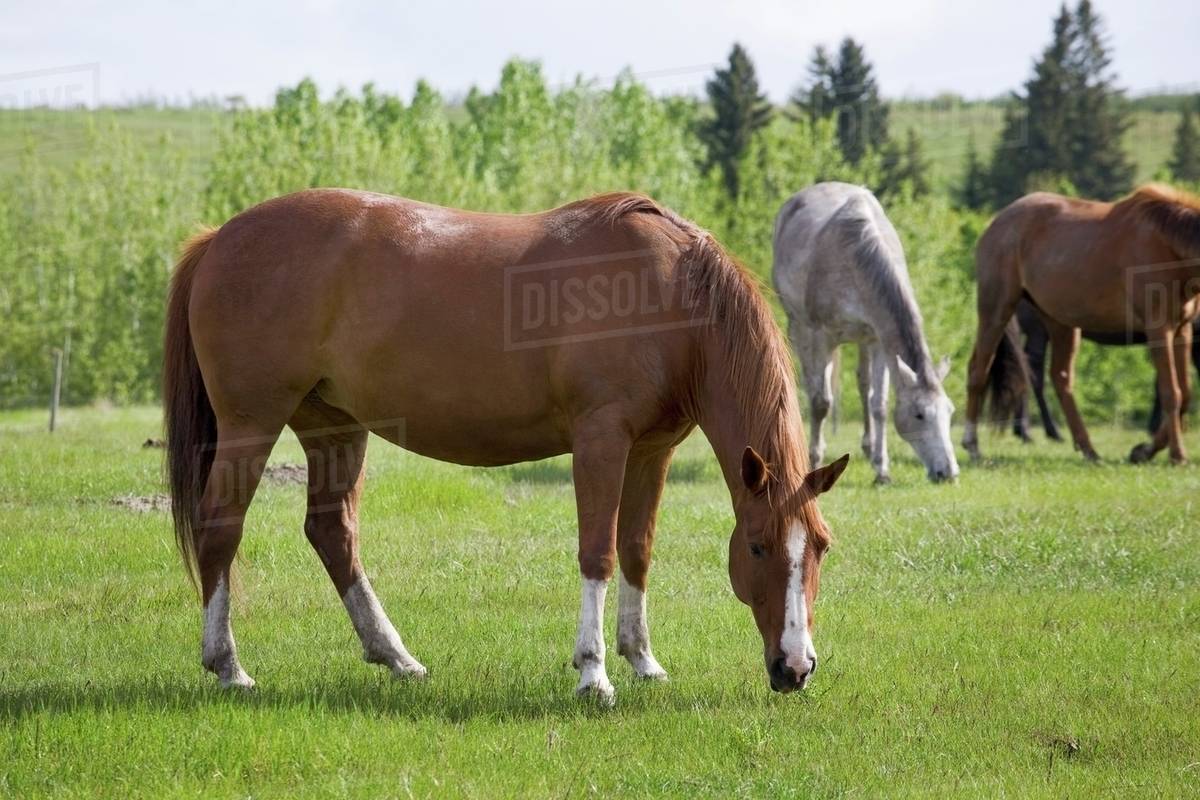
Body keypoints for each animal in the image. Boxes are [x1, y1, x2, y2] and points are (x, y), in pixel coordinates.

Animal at [163, 189, 850, 704]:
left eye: (820, 546)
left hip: (333, 427)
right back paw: (228, 666)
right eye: (757, 546)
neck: (669, 293)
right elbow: (598, 553)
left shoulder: (652, 451)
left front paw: (642, 660)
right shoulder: (601, 440)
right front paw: (593, 673)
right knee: (221, 527)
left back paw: (396, 656)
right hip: (252, 423)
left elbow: (637, 551)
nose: (795, 668)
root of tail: (219, 237)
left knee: (332, 532)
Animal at [772, 182, 958, 484]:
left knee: (863, 384)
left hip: (861, 341)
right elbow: (821, 402)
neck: (855, 256)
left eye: (950, 411)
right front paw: (813, 460)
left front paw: (882, 470)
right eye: (919, 415)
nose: (949, 473)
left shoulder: (878, 339)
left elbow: (879, 404)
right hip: (799, 327)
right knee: (811, 385)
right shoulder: (821, 336)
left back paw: (870, 449)